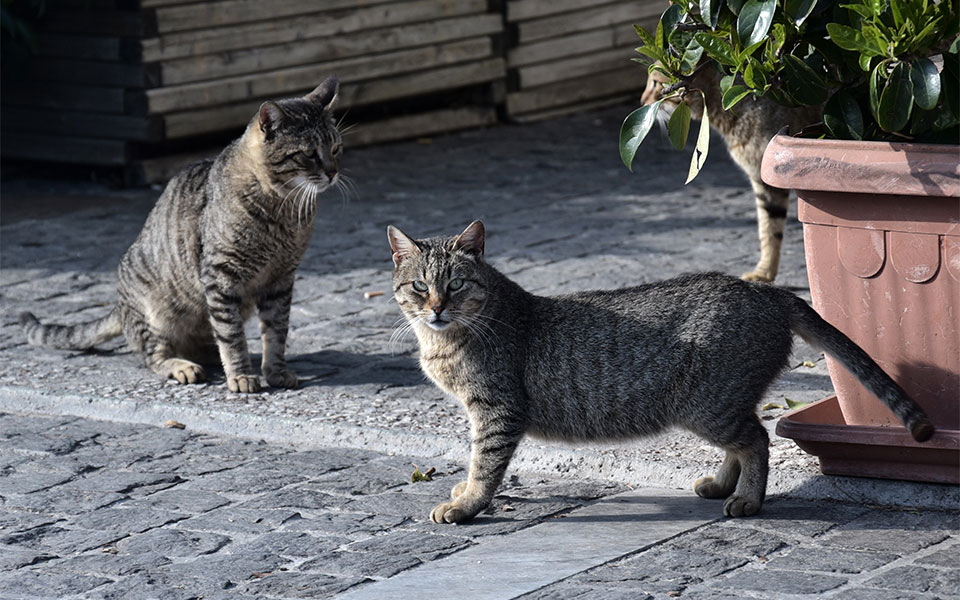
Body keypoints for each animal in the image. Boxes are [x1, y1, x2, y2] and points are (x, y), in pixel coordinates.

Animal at [19, 76, 344, 394]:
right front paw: (241, 375)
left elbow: (276, 332)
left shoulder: (281, 279)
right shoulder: (221, 275)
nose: (333, 172)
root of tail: (120, 307)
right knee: (154, 354)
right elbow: (232, 335)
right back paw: (183, 366)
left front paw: (275, 371)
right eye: (308, 154)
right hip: (155, 311)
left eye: (336, 149)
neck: (283, 207)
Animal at [386, 223, 932, 524]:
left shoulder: (497, 411)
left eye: (456, 285)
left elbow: (485, 464)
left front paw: (468, 504)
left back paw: (748, 500)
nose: (436, 308)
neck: (443, 343)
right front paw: (463, 492)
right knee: (747, 438)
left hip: (707, 405)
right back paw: (723, 484)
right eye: (419, 287)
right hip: (721, 403)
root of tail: (763, 290)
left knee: (758, 439)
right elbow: (473, 460)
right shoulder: (480, 412)